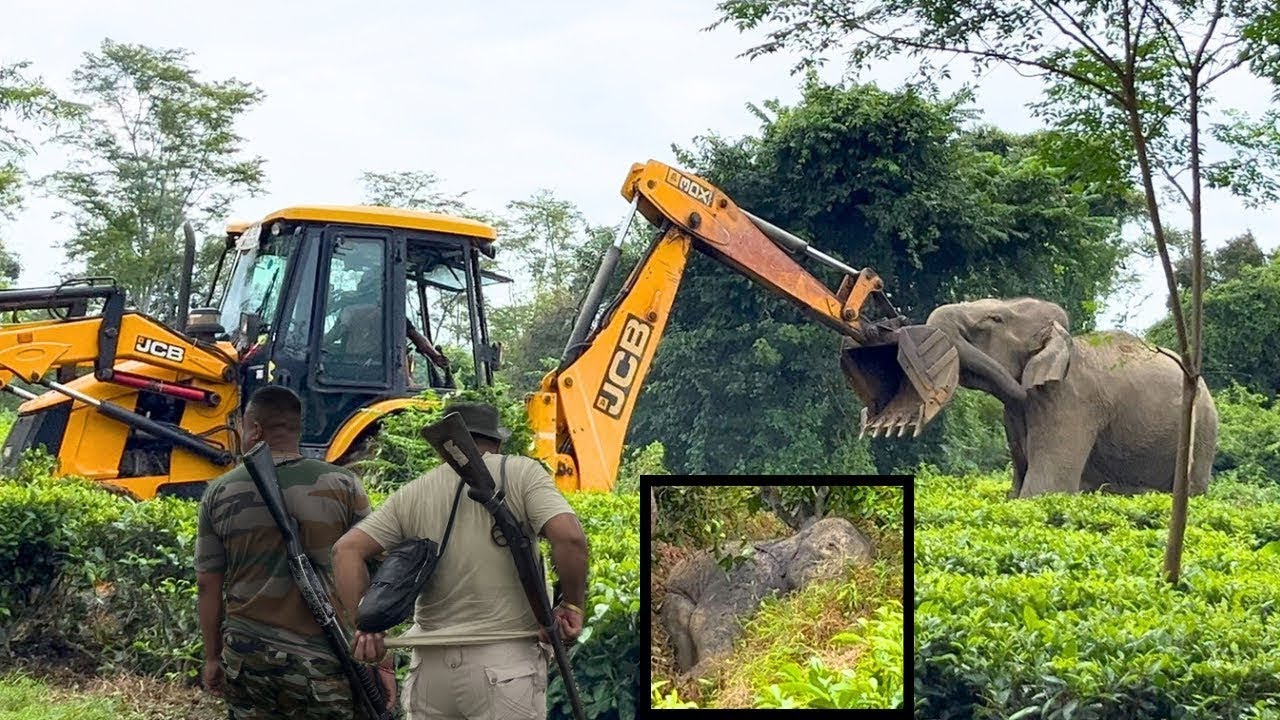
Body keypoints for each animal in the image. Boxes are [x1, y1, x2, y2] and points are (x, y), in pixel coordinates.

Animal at [925, 297, 1218, 498]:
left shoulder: (1069, 401)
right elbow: (1018, 486)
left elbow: (1046, 487)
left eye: (995, 319)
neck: (1065, 339)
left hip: (1204, 428)